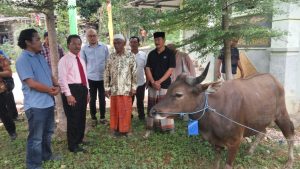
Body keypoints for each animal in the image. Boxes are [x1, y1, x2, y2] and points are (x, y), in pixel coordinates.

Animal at [149, 62, 294, 169]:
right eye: (168, 89)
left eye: (178, 94)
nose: (153, 111)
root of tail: (274, 79)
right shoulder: (216, 143)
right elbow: (216, 163)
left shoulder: (235, 141)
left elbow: (227, 165)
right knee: (263, 131)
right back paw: (250, 151)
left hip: (281, 114)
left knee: (290, 134)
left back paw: (289, 162)